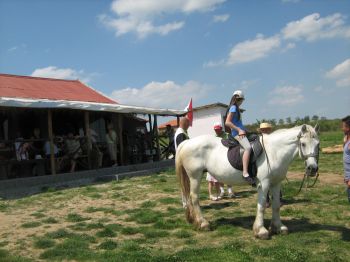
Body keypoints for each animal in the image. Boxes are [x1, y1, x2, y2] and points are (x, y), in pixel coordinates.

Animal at [176, 124, 318, 238]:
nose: (312, 168)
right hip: (195, 176)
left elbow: (276, 205)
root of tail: (187, 143)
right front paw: (261, 231)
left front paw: (278, 227)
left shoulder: (276, 183)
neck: (274, 151)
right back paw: (203, 223)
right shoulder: (264, 184)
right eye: (303, 144)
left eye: (318, 144)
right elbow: (261, 206)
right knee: (194, 198)